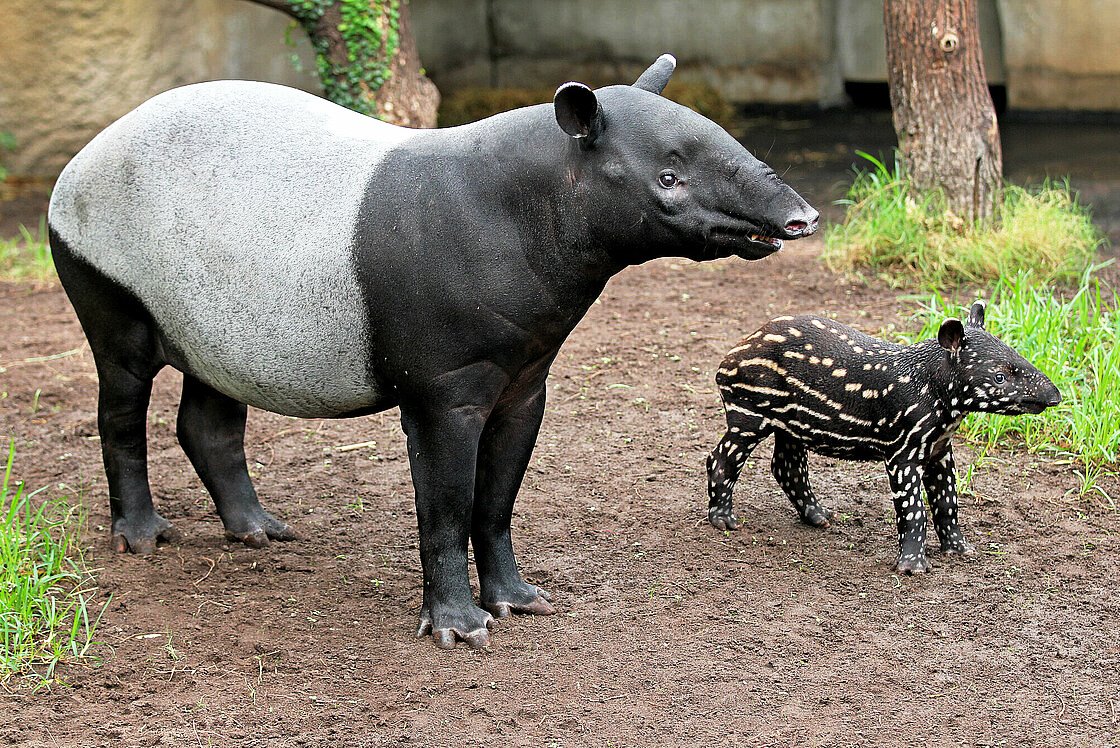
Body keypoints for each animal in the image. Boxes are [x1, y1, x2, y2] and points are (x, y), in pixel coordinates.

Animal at [50, 55, 824, 644]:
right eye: (668, 178)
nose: (801, 218)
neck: (524, 211)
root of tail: (82, 155)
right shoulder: (444, 385)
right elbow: (447, 504)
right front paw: (460, 626)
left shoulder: (525, 380)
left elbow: (498, 499)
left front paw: (519, 599)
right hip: (110, 277)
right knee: (121, 405)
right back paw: (142, 535)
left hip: (209, 313)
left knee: (208, 418)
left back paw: (258, 531)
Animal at [707, 300, 1057, 577]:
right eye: (999, 377)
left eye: (1018, 356)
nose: (1055, 395)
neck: (935, 389)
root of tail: (731, 355)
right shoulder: (903, 451)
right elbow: (914, 510)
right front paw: (912, 566)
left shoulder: (940, 450)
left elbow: (947, 500)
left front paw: (960, 549)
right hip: (749, 410)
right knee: (721, 458)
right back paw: (724, 520)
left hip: (793, 423)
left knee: (786, 466)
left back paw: (820, 517)